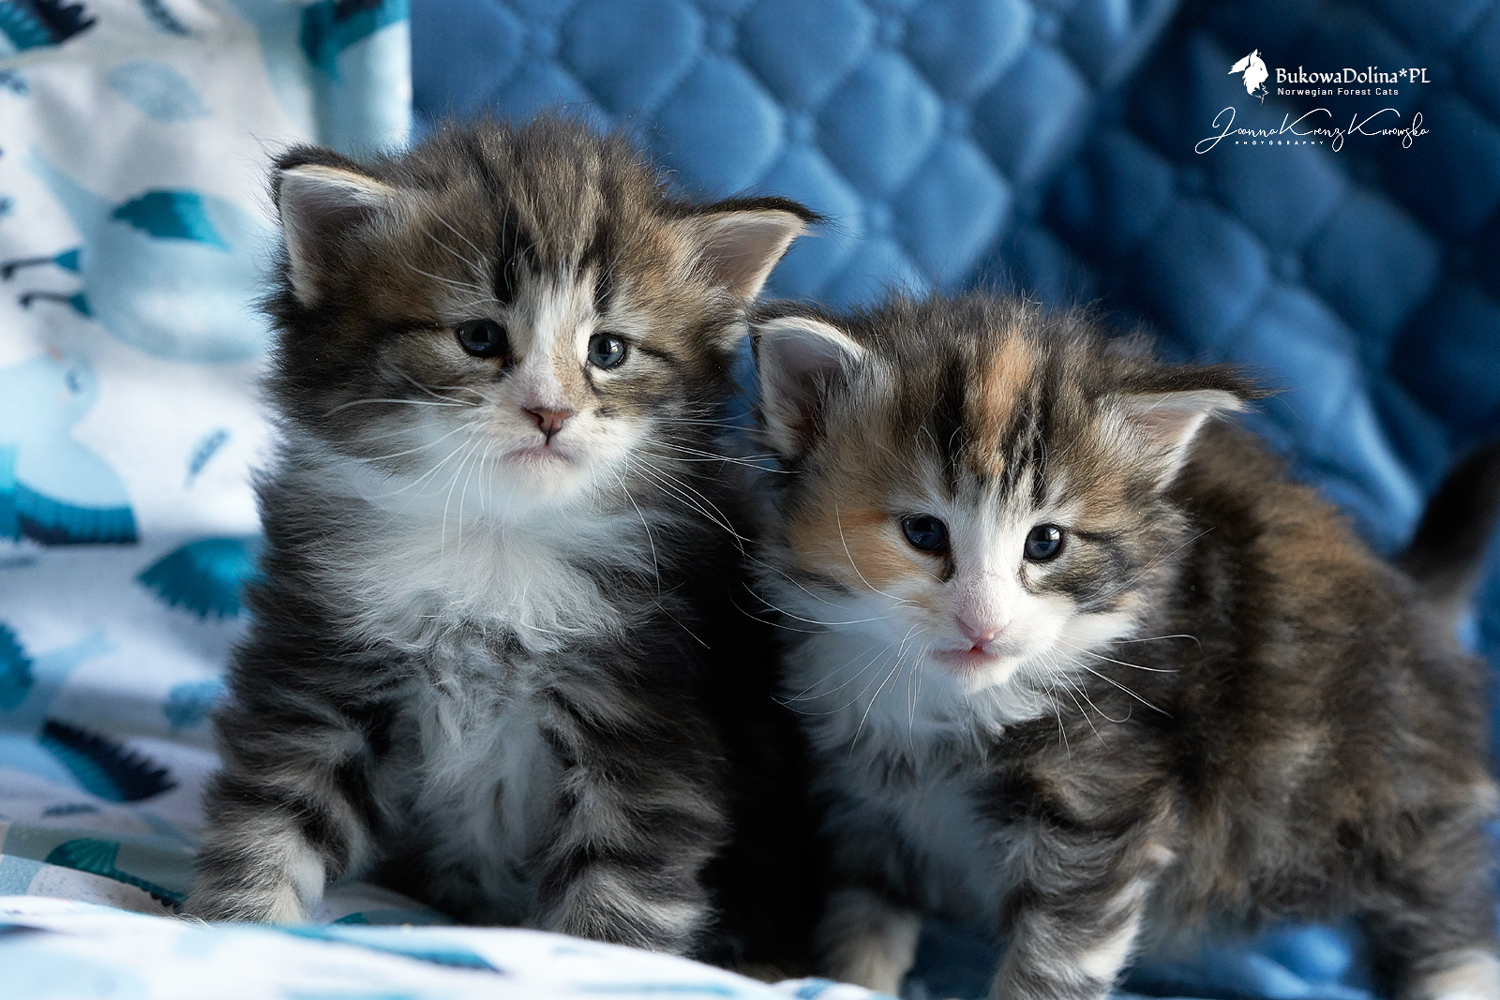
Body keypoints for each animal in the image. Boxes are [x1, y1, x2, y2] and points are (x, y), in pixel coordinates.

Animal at [187, 116, 818, 958]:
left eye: (608, 350)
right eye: (479, 338)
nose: (550, 411)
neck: (497, 542)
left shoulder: (646, 720)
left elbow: (622, 883)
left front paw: (597, 957)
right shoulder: (323, 666)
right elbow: (275, 811)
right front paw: (233, 930)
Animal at [745, 292, 1500, 1000]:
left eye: (1046, 543)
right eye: (924, 533)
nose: (983, 625)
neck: (949, 715)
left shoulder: (1099, 810)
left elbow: (1054, 961)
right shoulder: (871, 809)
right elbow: (865, 924)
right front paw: (851, 981)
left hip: (1376, 802)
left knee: (1445, 910)